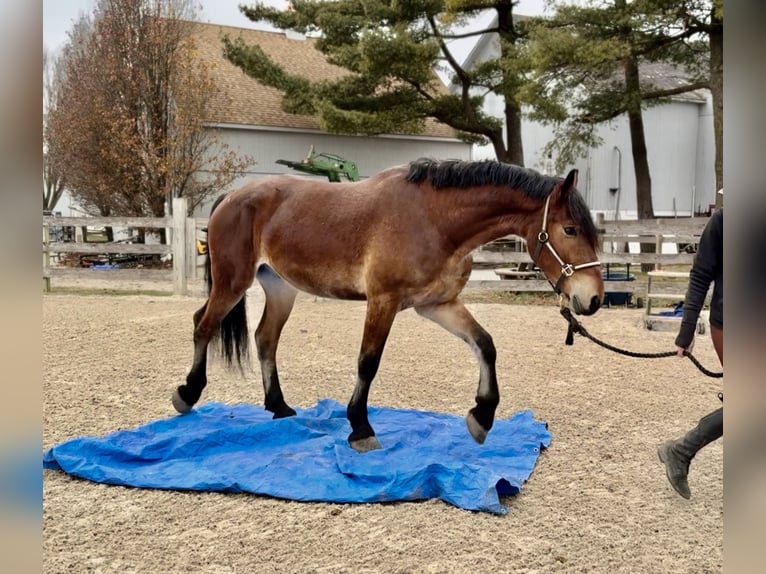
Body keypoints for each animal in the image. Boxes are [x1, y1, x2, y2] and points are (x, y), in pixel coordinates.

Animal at [172, 158, 604, 452]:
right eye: (570, 229)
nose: (594, 298)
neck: (435, 220)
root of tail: (231, 197)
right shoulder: (383, 301)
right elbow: (368, 362)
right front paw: (360, 428)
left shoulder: (438, 304)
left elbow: (485, 345)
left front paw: (482, 416)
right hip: (233, 283)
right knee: (202, 326)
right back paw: (187, 394)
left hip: (280, 288)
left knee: (264, 338)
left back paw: (278, 407)